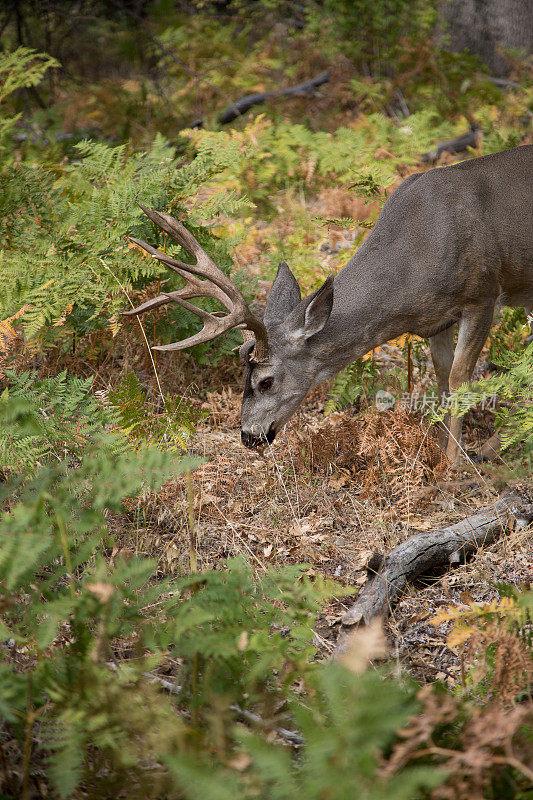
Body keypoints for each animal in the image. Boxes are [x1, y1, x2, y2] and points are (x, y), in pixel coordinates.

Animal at [123, 147, 532, 466]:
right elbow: (443, 379)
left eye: (265, 381)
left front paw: (455, 468)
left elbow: (461, 379)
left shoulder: (482, 293)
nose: (248, 436)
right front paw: (446, 449)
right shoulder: (437, 319)